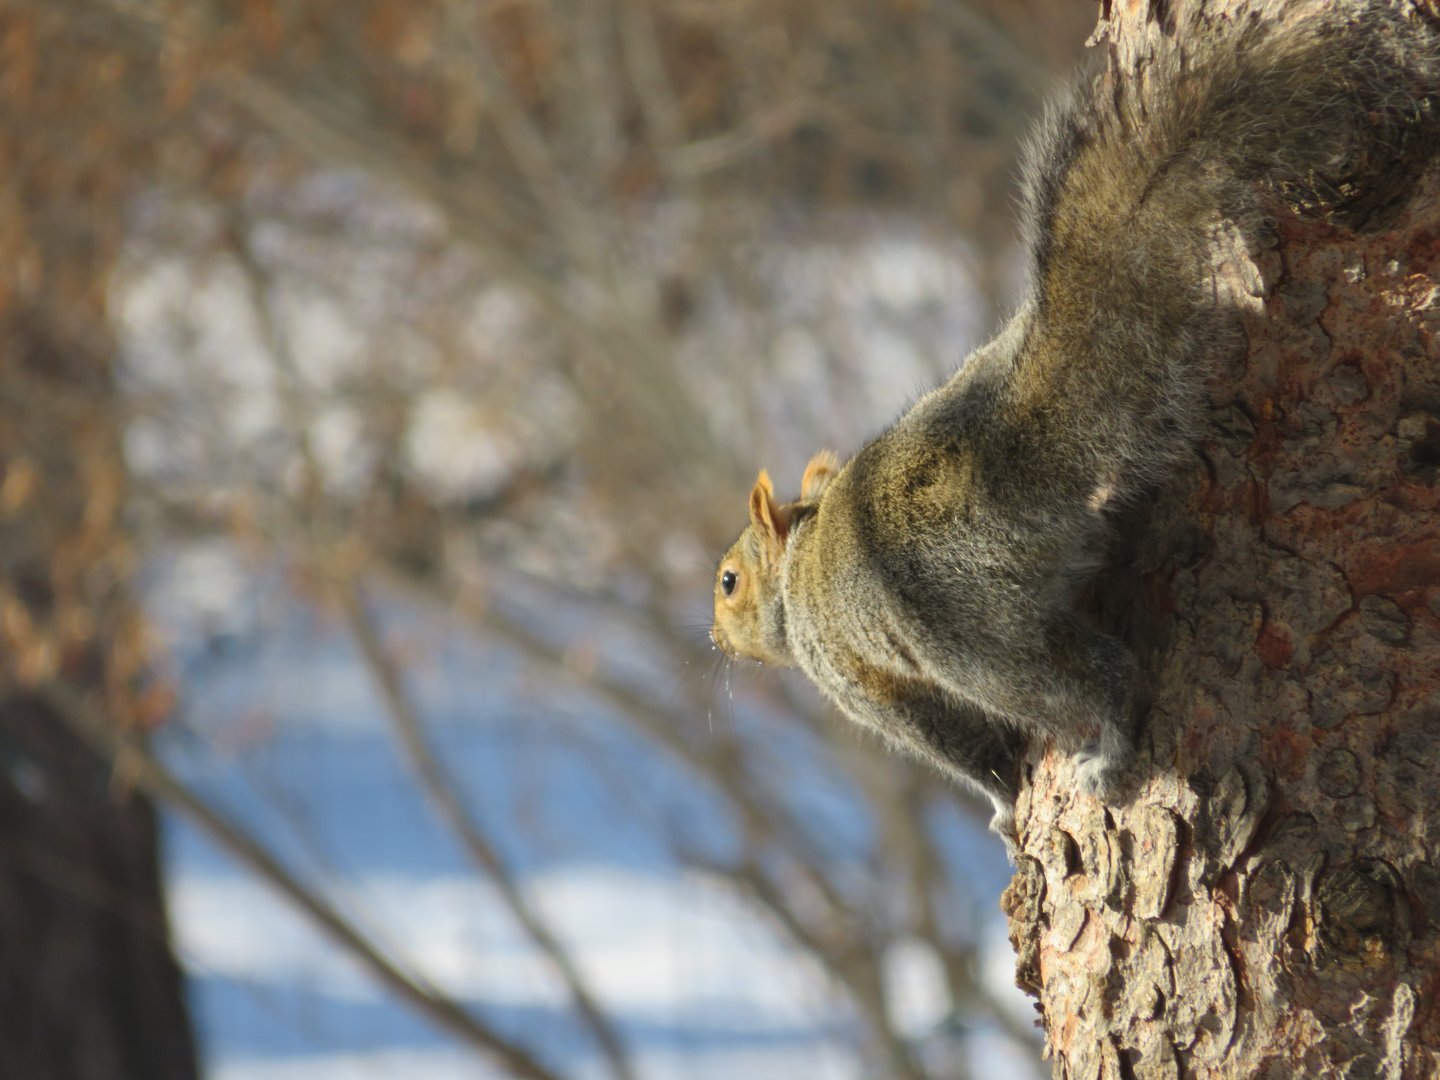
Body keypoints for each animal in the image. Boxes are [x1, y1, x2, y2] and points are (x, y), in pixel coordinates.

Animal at [710, 2, 1440, 853]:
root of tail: (1005, 454)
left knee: (1096, 679)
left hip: (975, 637)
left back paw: (1106, 750)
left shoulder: (875, 688)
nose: (715, 641)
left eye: (728, 582)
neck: (800, 563)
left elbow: (966, 752)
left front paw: (999, 810)